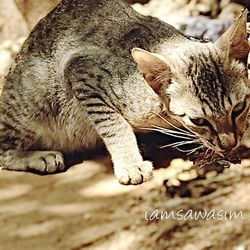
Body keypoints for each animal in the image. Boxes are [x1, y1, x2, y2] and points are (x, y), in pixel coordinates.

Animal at [0, 0, 250, 185]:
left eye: (239, 108)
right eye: (198, 120)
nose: (229, 143)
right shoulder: (80, 72)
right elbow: (114, 125)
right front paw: (130, 163)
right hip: (32, 98)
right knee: (4, 148)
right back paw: (39, 155)